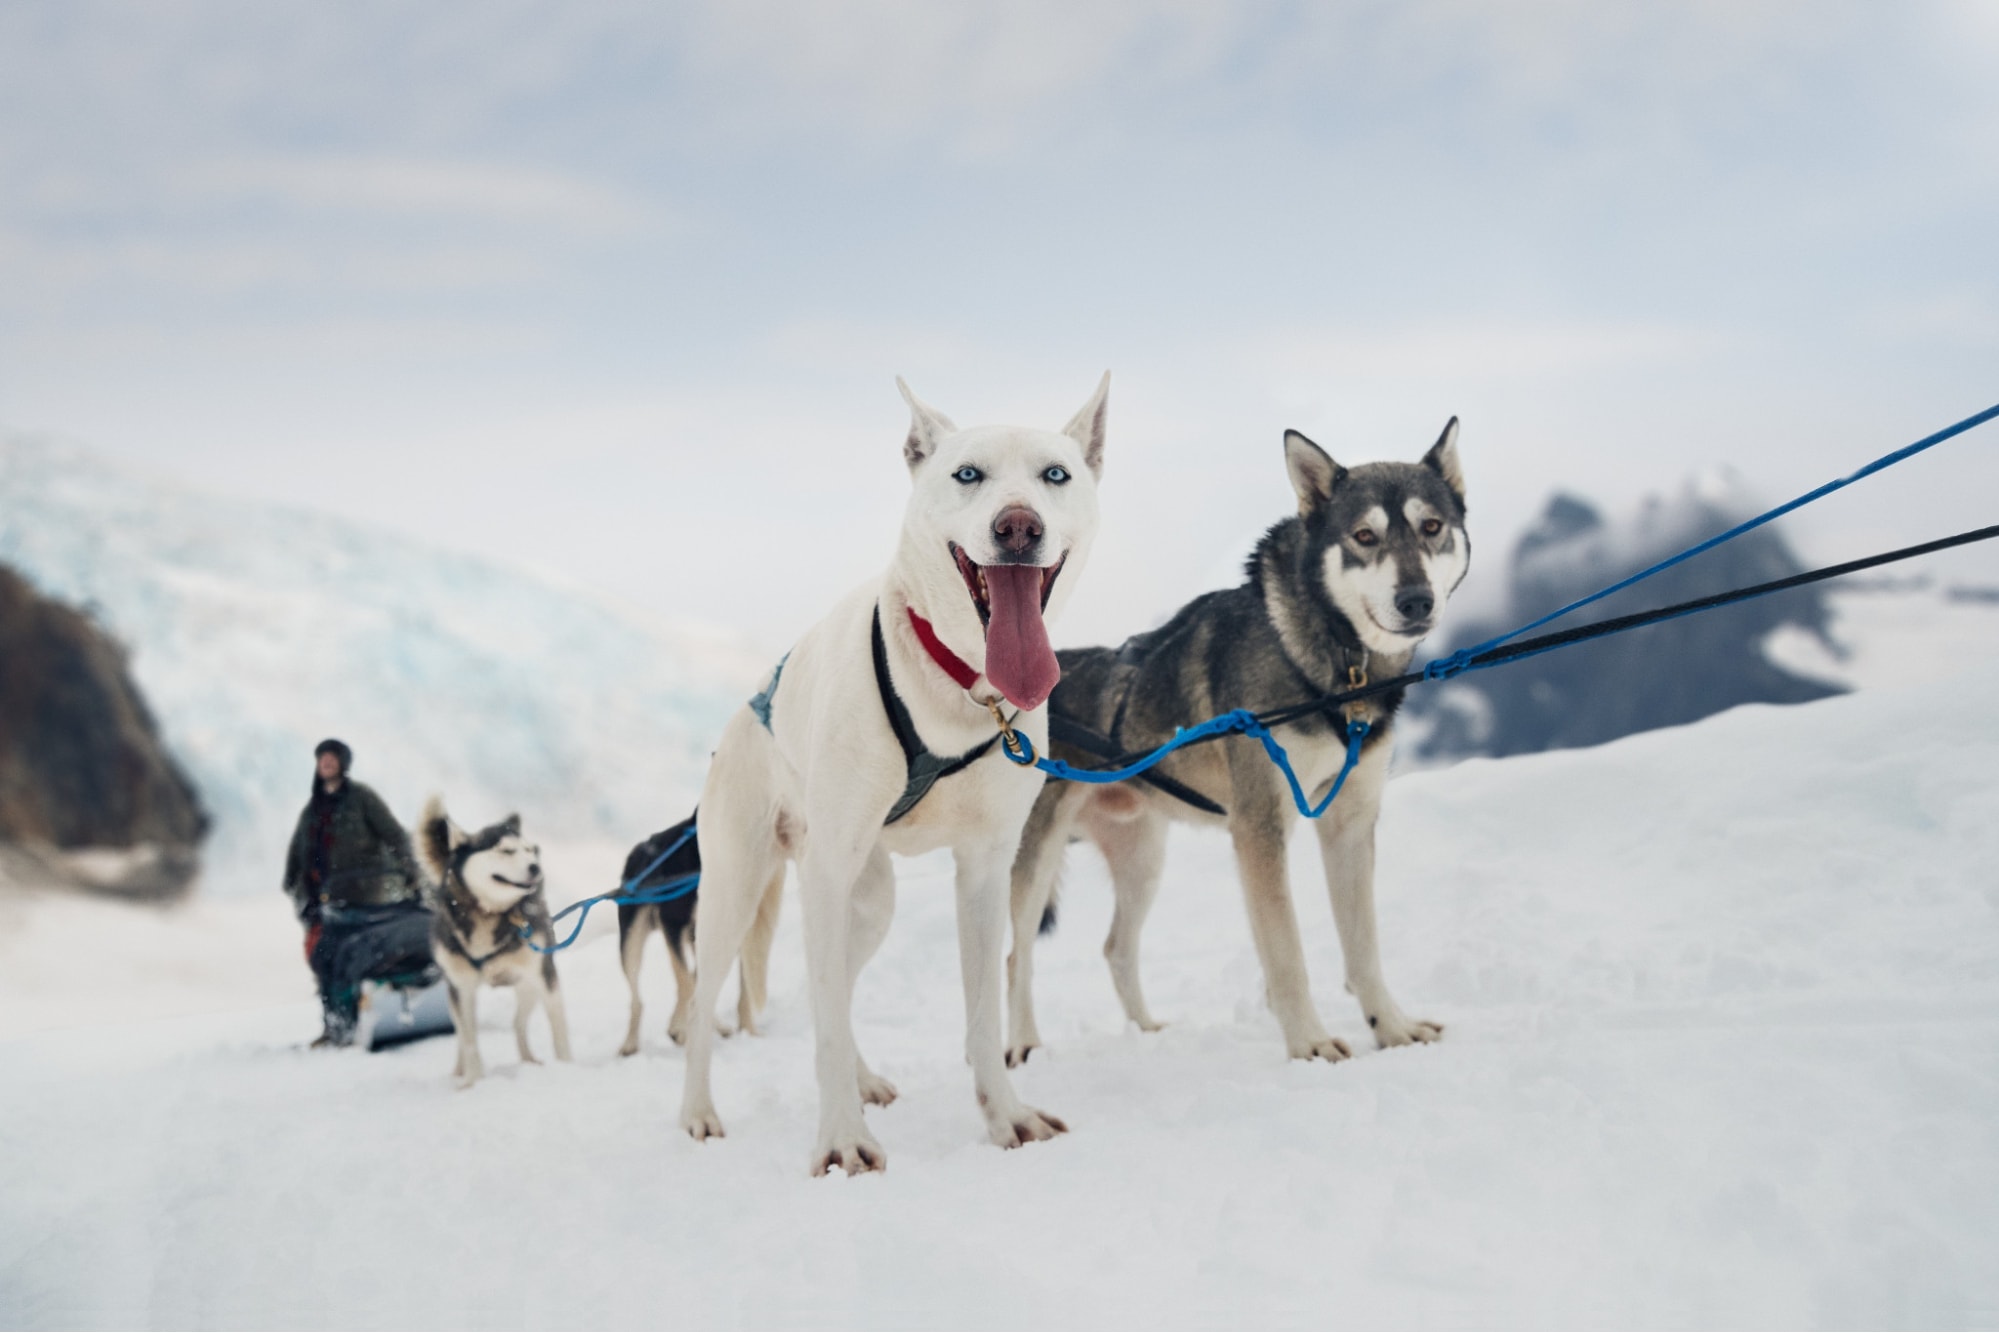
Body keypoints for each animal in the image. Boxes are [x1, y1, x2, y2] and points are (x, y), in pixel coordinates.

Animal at [419, 799, 571, 1087]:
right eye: (507, 850)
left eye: (528, 850)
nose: (535, 867)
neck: (489, 913)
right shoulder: (462, 988)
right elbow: (469, 1040)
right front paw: (472, 1082)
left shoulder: (545, 978)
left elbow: (560, 1035)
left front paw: (568, 1068)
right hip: (457, 995)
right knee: (462, 1032)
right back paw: (459, 1071)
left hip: (528, 986)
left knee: (518, 1024)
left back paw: (529, 1062)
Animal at [1015, 421, 1471, 1071]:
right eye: (1364, 536)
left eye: (1432, 526)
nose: (1415, 601)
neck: (1334, 666)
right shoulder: (1260, 827)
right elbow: (1286, 950)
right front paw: (1310, 1043)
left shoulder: (1351, 822)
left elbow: (1364, 947)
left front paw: (1392, 1028)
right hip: (1033, 857)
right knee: (1015, 955)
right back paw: (1022, 1047)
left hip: (1142, 858)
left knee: (1116, 947)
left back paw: (1147, 1033)